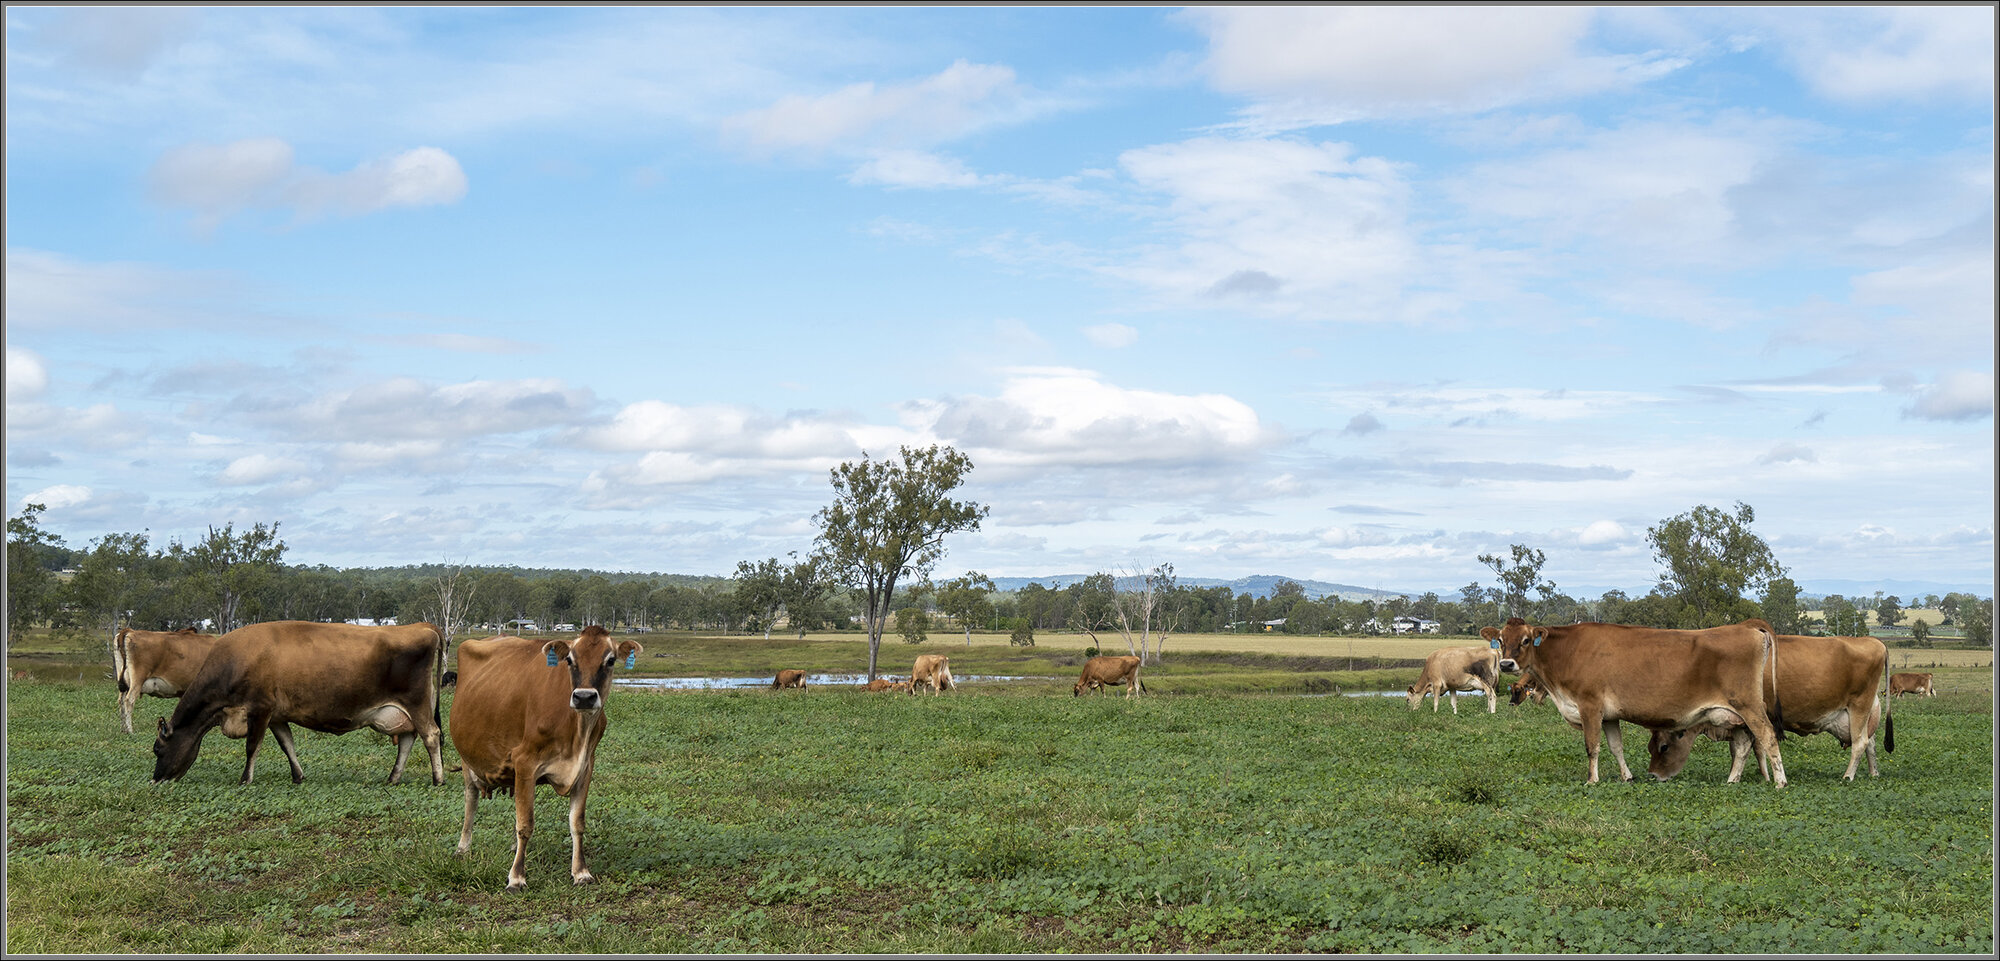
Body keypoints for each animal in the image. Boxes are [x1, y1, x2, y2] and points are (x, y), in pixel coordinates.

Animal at [149, 624, 446, 788]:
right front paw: (298, 775)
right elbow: (287, 744)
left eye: (157, 749)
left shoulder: (260, 707)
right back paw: (393, 778)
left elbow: (252, 746)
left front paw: (245, 779)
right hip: (406, 710)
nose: (154, 780)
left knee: (431, 736)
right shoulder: (277, 715)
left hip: (416, 703)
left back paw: (437, 779)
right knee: (408, 740)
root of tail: (422, 627)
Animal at [452, 628, 640, 888]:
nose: (584, 697)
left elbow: (576, 822)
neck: (576, 734)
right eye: (569, 660)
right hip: (467, 759)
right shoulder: (525, 761)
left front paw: (581, 872)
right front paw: (516, 877)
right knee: (471, 800)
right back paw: (463, 849)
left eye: (610, 660)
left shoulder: (585, 766)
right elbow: (525, 824)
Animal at [1496, 616, 1792, 788]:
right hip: (1736, 715)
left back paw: (1780, 781)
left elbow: (1592, 747)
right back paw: (1732, 780)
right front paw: (1627, 777)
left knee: (1767, 737)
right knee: (1743, 746)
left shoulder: (1590, 706)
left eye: (1525, 640)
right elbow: (1616, 747)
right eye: (1500, 640)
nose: (1506, 664)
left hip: (1749, 707)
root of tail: (1745, 626)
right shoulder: (1609, 715)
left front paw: (1592, 780)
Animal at [1648, 632, 1896, 784]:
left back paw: (1847, 777)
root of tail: (1873, 641)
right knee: (1870, 743)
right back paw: (1874, 773)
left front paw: (1763, 777)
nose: (1653, 775)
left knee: (1860, 744)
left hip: (1859, 707)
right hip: (1861, 715)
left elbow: (1754, 748)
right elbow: (1741, 750)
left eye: (1663, 747)